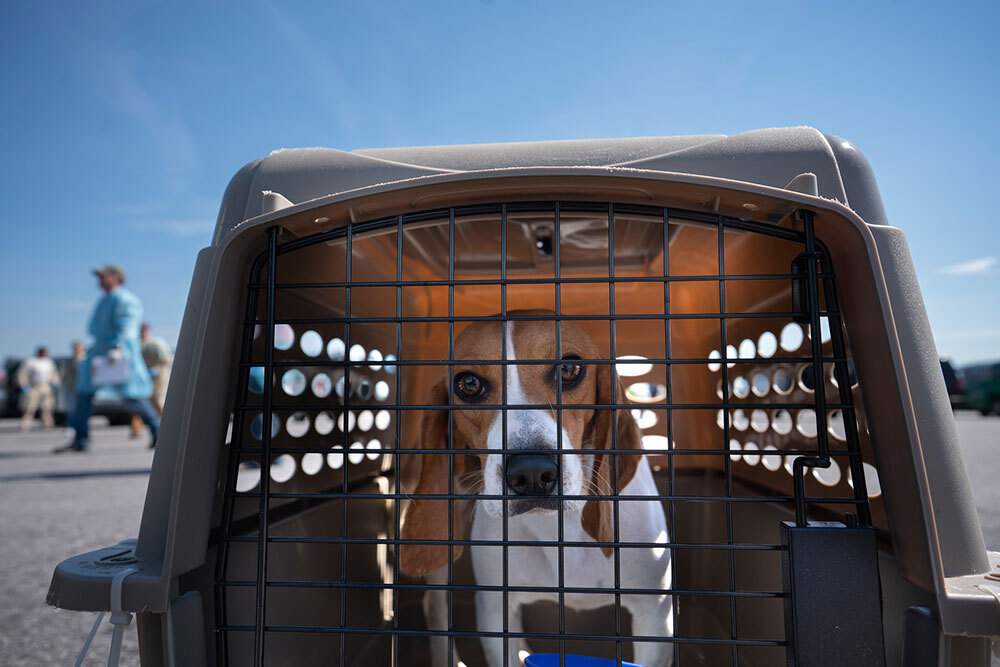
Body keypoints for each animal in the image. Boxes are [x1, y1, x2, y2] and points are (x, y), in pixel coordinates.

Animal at [398, 314, 672, 667]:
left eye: (569, 369)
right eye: (469, 383)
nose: (530, 473)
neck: (561, 526)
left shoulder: (656, 616)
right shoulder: (495, 612)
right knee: (434, 603)